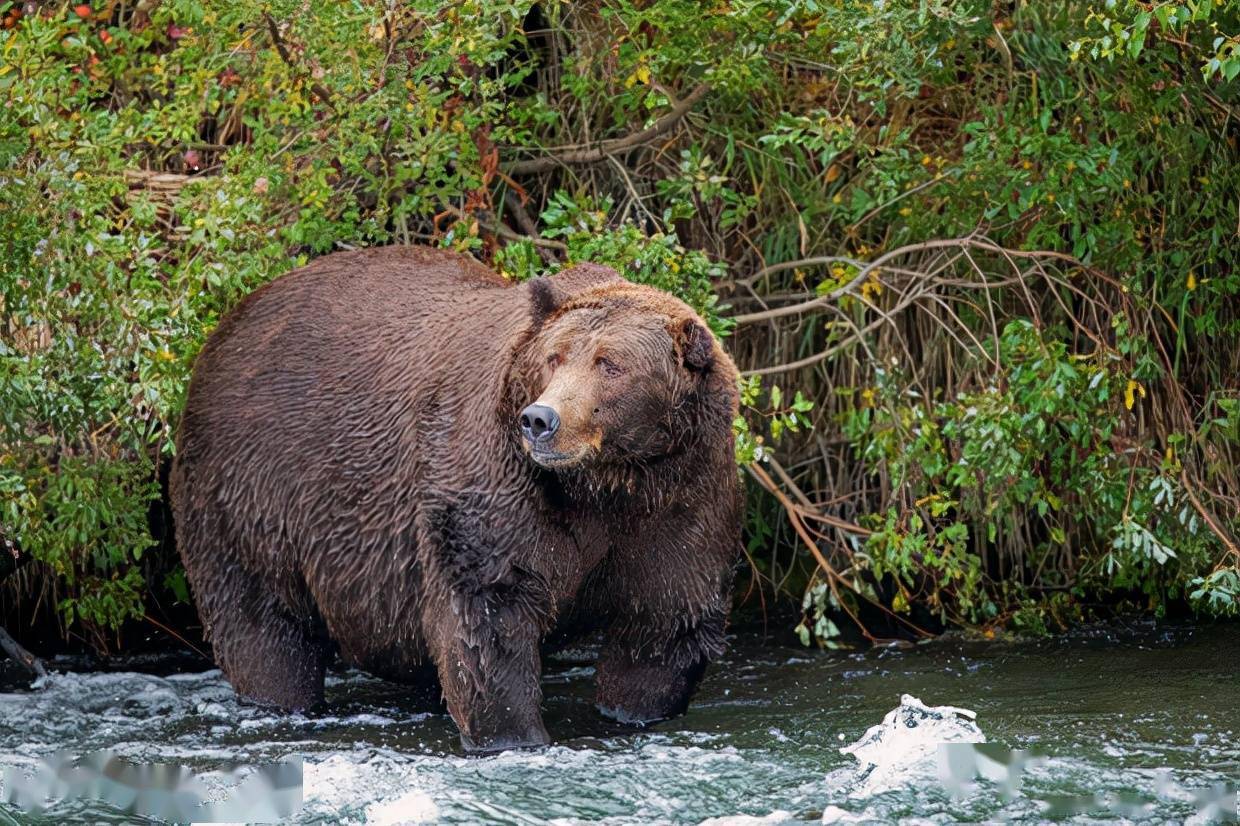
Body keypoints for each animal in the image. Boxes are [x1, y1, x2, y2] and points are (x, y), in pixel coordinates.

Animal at [169, 241, 739, 749]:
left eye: (611, 364)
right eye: (555, 358)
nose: (540, 420)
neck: (608, 483)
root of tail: (226, 327)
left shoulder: (681, 502)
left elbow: (662, 625)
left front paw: (632, 711)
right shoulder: (497, 485)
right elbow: (488, 619)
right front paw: (514, 736)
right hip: (250, 492)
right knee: (263, 624)